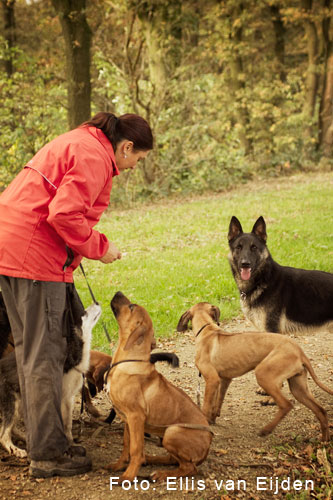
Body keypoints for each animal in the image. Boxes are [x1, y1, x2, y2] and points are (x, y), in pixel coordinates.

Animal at [0, 298, 101, 458]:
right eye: (83, 313)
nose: (97, 302)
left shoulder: (68, 398)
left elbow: (67, 425)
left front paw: (71, 444)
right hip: (12, 403)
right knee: (3, 435)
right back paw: (15, 449)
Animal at [105, 292, 211, 482]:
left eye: (131, 306)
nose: (117, 293)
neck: (126, 361)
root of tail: (207, 446)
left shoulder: (135, 417)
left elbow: (136, 449)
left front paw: (128, 476)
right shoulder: (127, 418)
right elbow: (126, 445)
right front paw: (119, 466)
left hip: (172, 432)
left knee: (189, 468)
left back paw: (162, 473)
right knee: (173, 460)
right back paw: (151, 460)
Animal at [176, 300, 332, 442]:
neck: (207, 329)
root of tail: (299, 350)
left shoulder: (212, 379)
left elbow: (207, 404)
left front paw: (205, 422)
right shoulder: (224, 379)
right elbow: (217, 402)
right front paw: (213, 418)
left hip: (264, 375)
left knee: (286, 405)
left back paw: (266, 430)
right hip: (298, 387)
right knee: (321, 410)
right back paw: (324, 440)